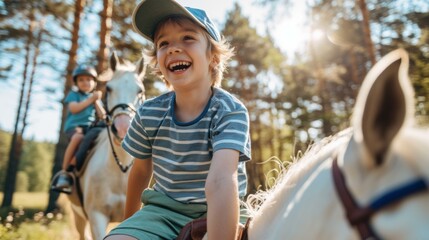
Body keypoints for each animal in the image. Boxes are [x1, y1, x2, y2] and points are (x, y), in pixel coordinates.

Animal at [67, 53, 146, 240]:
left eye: (140, 90)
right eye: (108, 88)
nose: (123, 128)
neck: (120, 170)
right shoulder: (97, 217)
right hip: (78, 216)